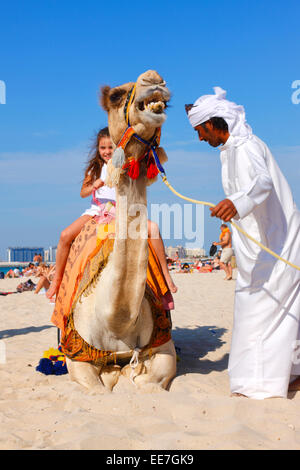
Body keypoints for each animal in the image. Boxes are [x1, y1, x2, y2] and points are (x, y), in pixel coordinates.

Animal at [63, 70, 176, 392]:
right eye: (116, 95)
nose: (155, 79)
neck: (116, 322)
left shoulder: (164, 346)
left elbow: (148, 382)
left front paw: (126, 375)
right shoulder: (76, 356)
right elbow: (97, 388)